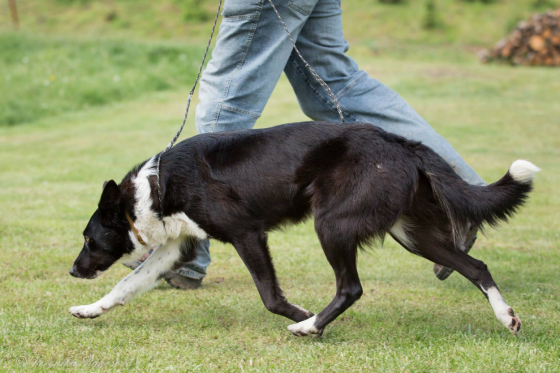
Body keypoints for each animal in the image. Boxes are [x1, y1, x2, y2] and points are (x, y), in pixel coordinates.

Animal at [69, 120, 540, 336]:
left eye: (89, 239)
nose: (73, 270)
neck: (157, 186)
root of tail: (399, 142)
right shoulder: (175, 247)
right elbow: (125, 286)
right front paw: (90, 309)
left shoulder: (247, 234)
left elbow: (271, 297)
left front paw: (302, 315)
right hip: (411, 233)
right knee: (476, 266)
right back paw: (506, 317)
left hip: (331, 224)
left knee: (351, 288)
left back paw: (311, 327)